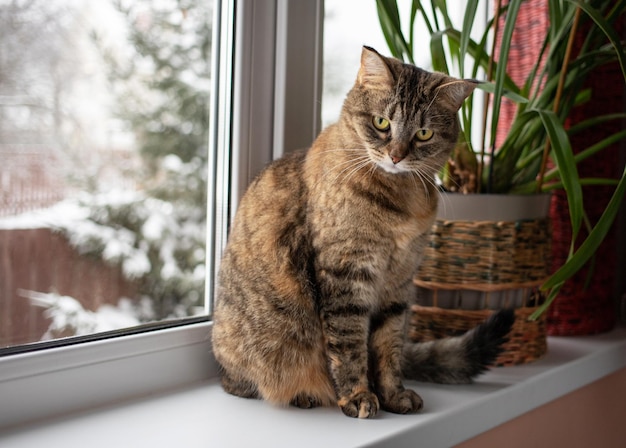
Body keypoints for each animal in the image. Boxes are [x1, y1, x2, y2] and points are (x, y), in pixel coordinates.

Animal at [210, 47, 512, 418]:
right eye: (382, 123)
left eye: (423, 134)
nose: (396, 156)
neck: (399, 203)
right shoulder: (346, 274)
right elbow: (350, 345)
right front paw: (357, 396)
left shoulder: (399, 283)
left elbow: (387, 347)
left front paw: (393, 394)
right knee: (239, 382)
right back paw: (301, 394)